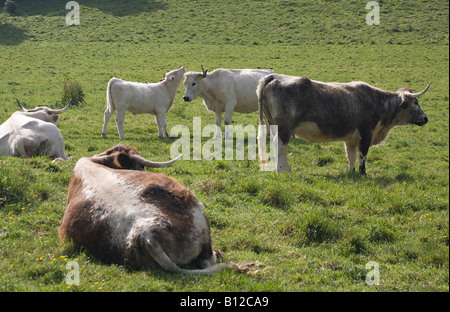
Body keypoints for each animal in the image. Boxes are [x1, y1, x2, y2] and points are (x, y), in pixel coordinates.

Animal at [256, 74, 428, 174]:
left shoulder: (351, 139)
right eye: (416, 102)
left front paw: (351, 171)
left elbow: (351, 156)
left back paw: (285, 169)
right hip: (284, 129)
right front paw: (362, 173)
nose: (425, 118)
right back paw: (281, 170)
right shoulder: (366, 134)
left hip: (274, 126)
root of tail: (274, 77)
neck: (379, 102)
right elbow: (362, 155)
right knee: (279, 146)